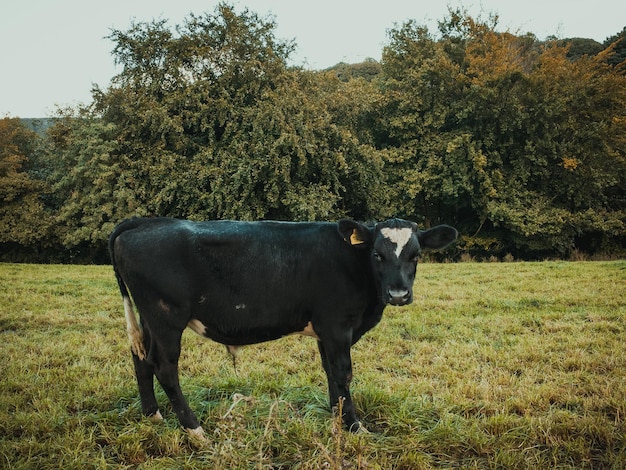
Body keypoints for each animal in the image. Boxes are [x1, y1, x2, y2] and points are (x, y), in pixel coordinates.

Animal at [109, 218, 456, 438]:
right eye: (377, 254)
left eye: (416, 255)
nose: (398, 294)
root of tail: (147, 221)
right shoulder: (338, 326)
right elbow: (343, 373)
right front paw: (355, 426)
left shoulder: (325, 331)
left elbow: (330, 372)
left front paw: (336, 416)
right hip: (166, 316)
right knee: (164, 367)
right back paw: (194, 429)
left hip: (147, 318)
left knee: (141, 359)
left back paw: (152, 415)